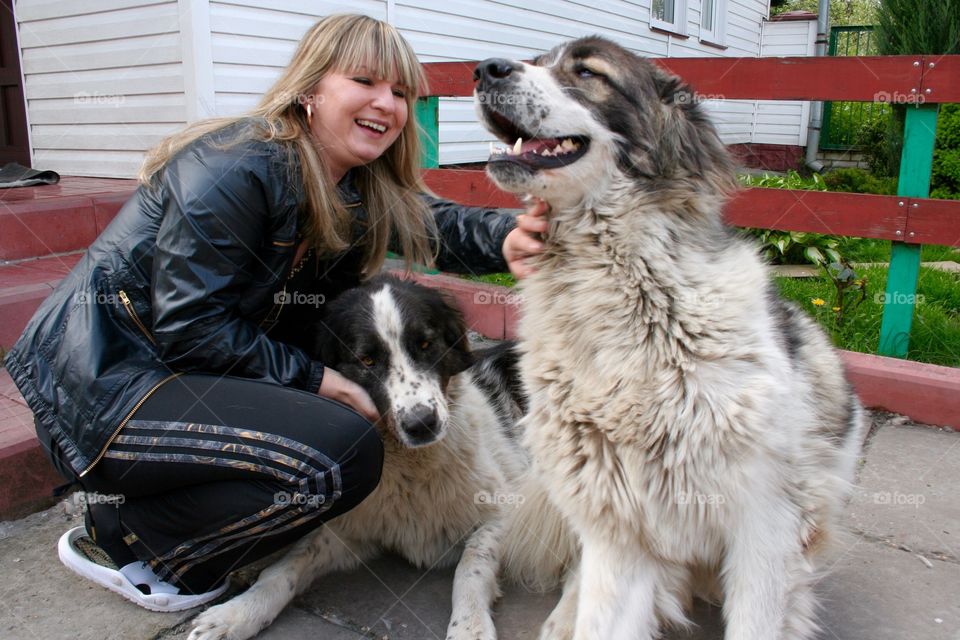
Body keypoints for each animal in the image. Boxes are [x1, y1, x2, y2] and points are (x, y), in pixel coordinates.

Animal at [186, 274, 532, 640]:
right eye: (367, 361)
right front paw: (238, 612)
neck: (411, 467)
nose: (422, 424)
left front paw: (469, 626)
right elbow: (286, 566)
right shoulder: (350, 527)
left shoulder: (508, 510)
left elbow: (471, 565)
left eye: (426, 345)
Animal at [476, 38, 868, 640]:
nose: (484, 68)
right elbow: (603, 617)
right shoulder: (620, 530)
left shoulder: (766, 531)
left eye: (586, 72)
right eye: (537, 61)